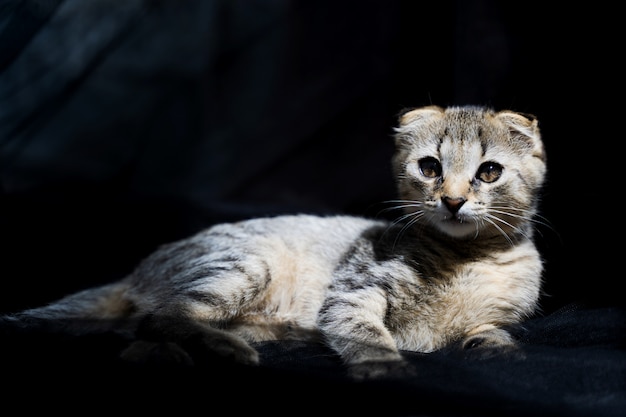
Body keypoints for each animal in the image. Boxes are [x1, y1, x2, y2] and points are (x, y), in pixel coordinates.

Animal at [1, 105, 544, 380]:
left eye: (488, 171)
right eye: (430, 167)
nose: (452, 201)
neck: (465, 257)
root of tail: (140, 267)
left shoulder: (494, 317)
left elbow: (495, 336)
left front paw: (502, 354)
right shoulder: (352, 294)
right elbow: (366, 333)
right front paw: (385, 365)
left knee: (138, 331)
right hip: (246, 264)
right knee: (161, 316)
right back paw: (218, 350)